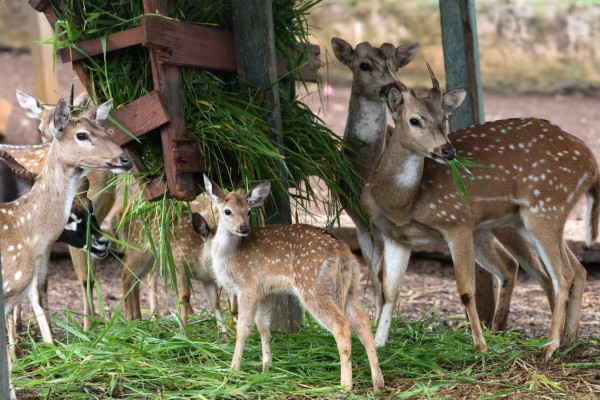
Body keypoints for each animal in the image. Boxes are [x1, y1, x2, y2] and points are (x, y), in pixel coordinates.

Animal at [199, 175, 382, 390]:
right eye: (227, 211)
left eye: (248, 211)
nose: (243, 228)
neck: (231, 256)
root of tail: (345, 256)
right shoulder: (264, 292)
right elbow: (263, 326)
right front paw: (266, 366)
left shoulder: (248, 287)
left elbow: (243, 328)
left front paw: (233, 369)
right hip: (351, 287)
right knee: (362, 321)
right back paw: (378, 382)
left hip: (313, 287)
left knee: (342, 325)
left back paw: (345, 385)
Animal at [330, 36, 556, 346]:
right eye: (363, 64)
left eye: (397, 64)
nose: (390, 87)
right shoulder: (369, 225)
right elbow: (380, 283)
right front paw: (377, 335)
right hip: (483, 230)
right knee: (510, 265)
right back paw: (500, 328)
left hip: (510, 221)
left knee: (536, 269)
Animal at [360, 65, 596, 360]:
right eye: (415, 120)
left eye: (445, 119)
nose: (447, 150)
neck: (402, 203)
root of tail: (592, 163)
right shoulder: (397, 238)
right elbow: (389, 291)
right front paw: (379, 344)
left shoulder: (457, 221)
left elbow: (465, 290)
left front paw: (480, 346)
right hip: (531, 219)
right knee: (576, 269)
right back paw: (568, 341)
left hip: (545, 207)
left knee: (560, 275)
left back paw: (549, 346)